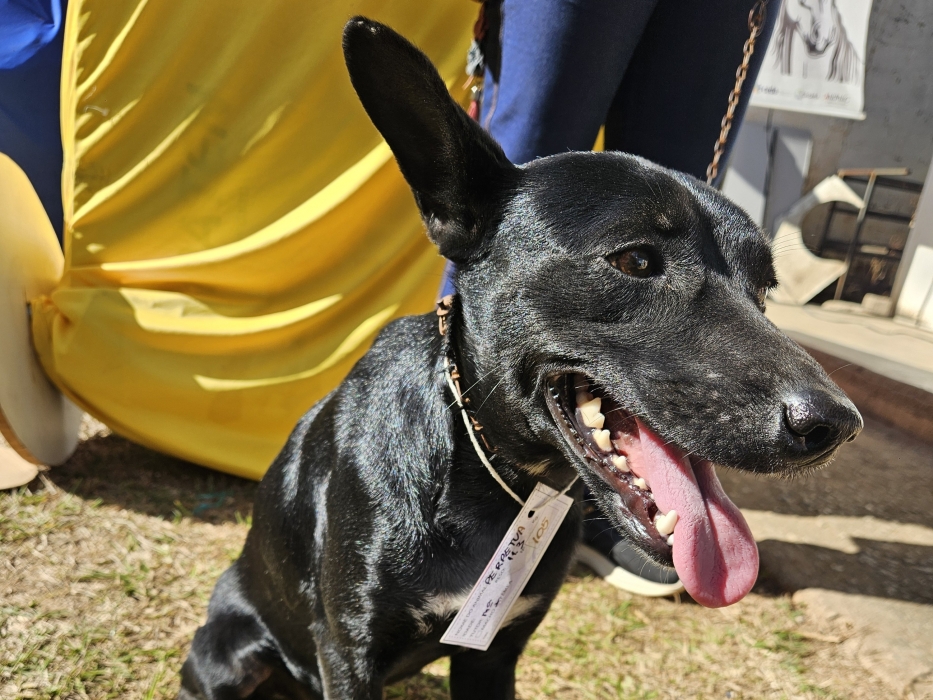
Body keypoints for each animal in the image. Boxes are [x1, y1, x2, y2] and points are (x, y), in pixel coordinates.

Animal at [178, 17, 862, 699]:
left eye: (765, 288)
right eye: (636, 260)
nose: (836, 425)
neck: (490, 477)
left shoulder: (494, 655)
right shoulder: (349, 652)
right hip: (228, 654)